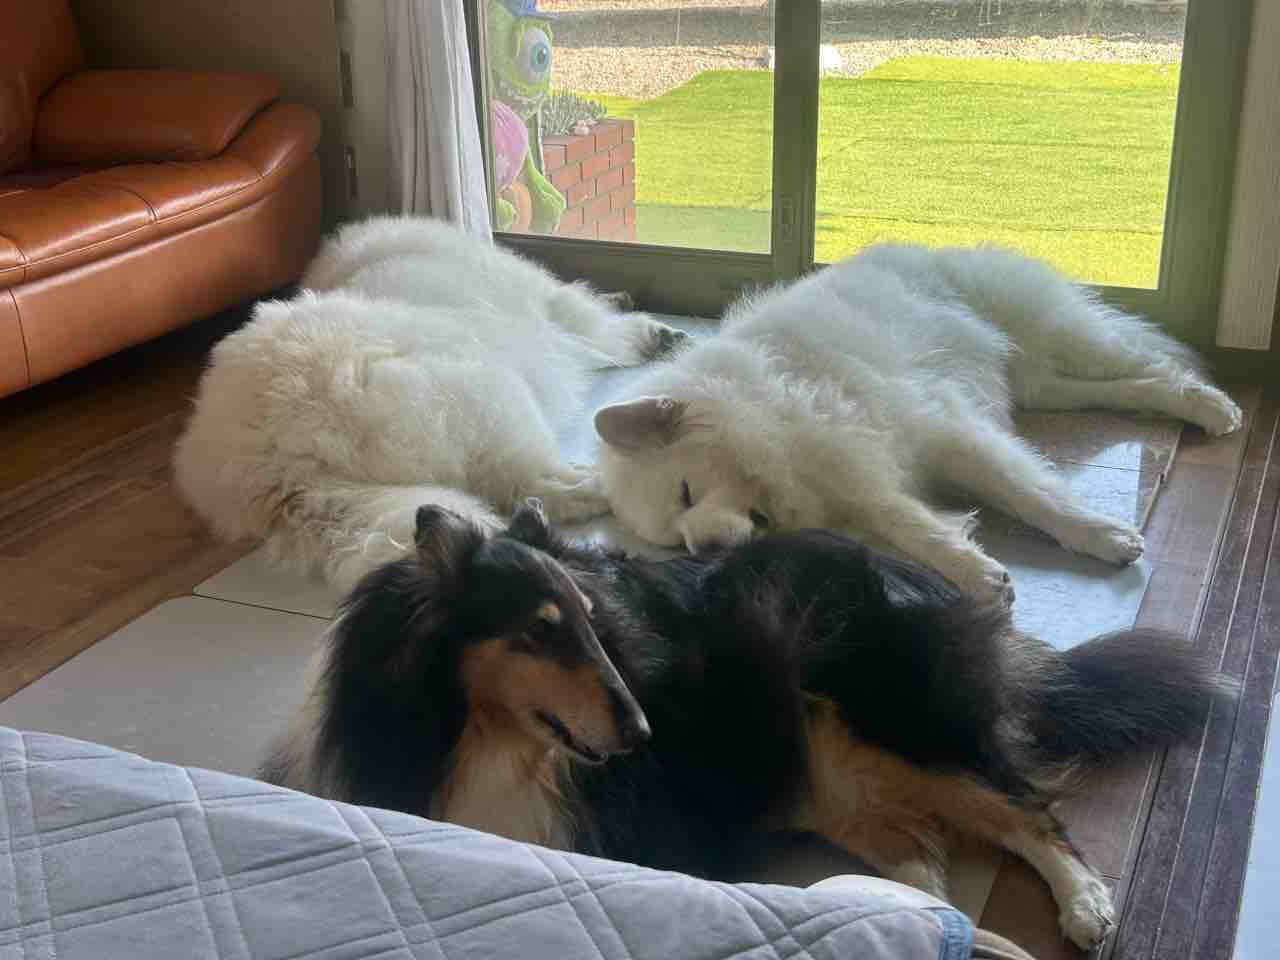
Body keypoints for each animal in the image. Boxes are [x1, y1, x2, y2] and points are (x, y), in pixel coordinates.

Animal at [173, 215, 686, 593]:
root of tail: (277, 459)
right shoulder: (558, 309)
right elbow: (603, 324)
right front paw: (653, 333)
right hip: (488, 392)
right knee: (533, 485)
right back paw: (599, 485)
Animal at [260, 498, 1232, 952]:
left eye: (594, 622)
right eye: (541, 632)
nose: (644, 735)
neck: (494, 741)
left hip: (890, 727)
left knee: (1030, 811)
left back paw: (1089, 907)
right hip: (829, 781)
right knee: (926, 868)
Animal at [593, 243, 1242, 604]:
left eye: (685, 493)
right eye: (674, 543)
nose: (704, 549)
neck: (765, 408)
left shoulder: (943, 432)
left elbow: (1030, 496)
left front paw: (1100, 536)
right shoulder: (862, 486)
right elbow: (910, 525)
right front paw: (976, 573)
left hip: (1058, 336)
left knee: (1148, 364)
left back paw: (1211, 405)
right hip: (1044, 384)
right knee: (1125, 386)